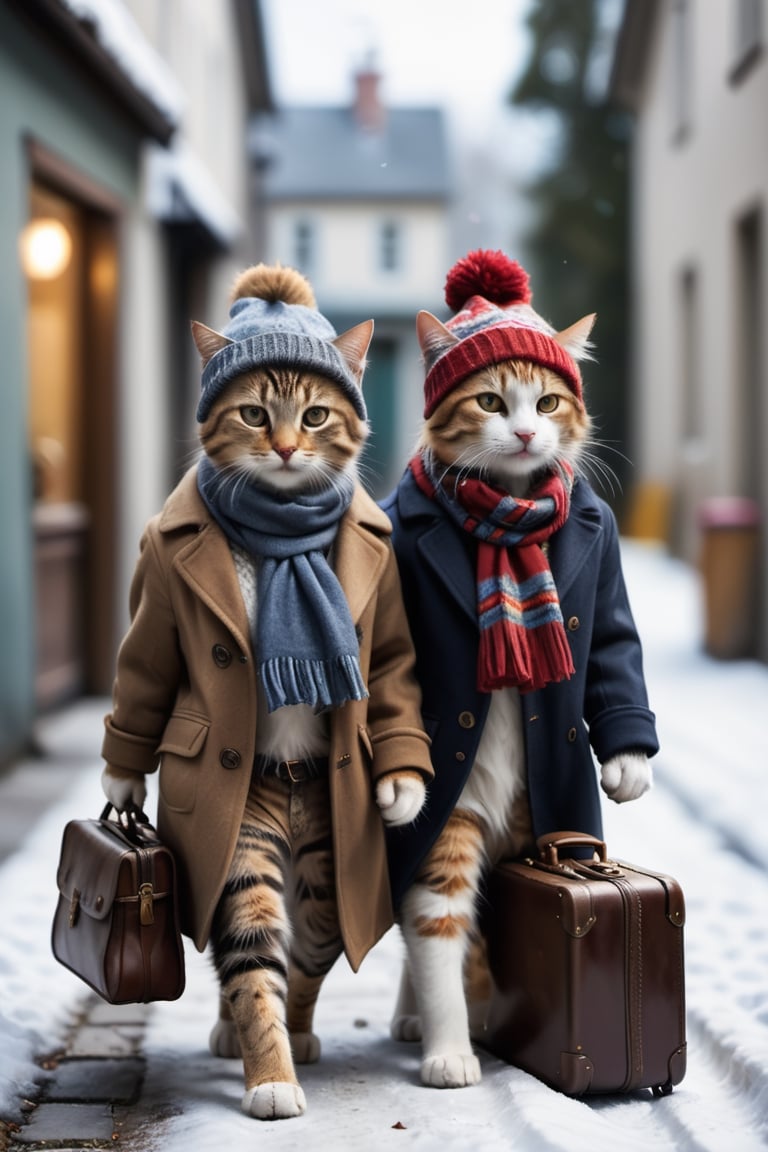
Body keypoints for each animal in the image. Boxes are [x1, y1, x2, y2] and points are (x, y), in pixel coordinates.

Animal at [382, 252, 654, 1087]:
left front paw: (628, 765)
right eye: (492, 401)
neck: (506, 525)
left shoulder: (604, 582)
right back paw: (420, 1020)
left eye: (550, 399)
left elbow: (614, 651)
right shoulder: (447, 823)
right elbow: (436, 924)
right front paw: (448, 1051)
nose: (529, 429)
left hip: (539, 816)